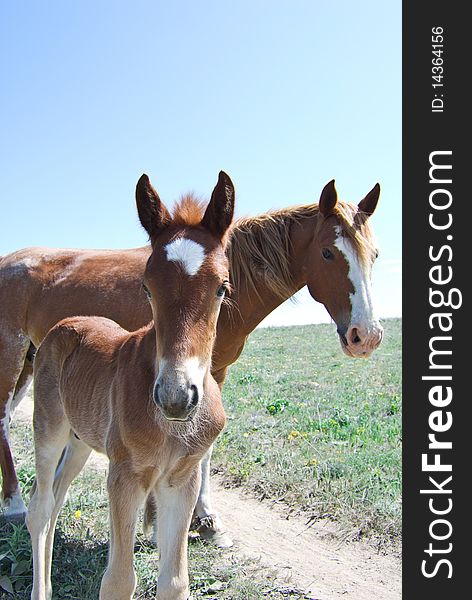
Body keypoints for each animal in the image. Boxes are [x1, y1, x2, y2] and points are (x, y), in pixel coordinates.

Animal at [0, 178, 382, 544]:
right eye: (328, 252)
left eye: (375, 255)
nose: (365, 335)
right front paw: (161, 522)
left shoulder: (213, 373)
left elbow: (204, 448)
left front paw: (205, 521)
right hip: (12, 353)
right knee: (4, 417)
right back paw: (15, 504)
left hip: (33, 360)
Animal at [24, 172, 235, 600]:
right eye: (147, 287)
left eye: (222, 287)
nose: (176, 397)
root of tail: (65, 323)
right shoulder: (124, 476)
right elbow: (119, 580)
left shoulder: (181, 481)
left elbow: (174, 581)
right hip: (49, 427)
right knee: (39, 507)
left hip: (80, 442)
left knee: (56, 499)